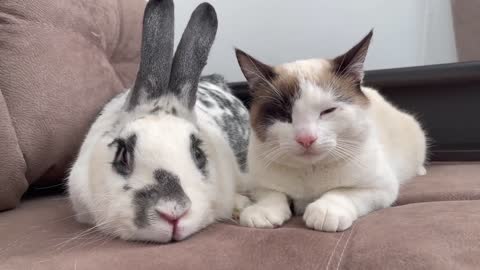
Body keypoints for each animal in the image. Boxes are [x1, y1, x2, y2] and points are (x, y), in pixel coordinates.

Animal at [234, 30, 426, 232]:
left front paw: (326, 211)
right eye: (284, 115)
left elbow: (342, 192)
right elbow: (272, 194)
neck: (310, 171)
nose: (306, 139)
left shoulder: (381, 187)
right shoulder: (257, 184)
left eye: (327, 111)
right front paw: (262, 211)